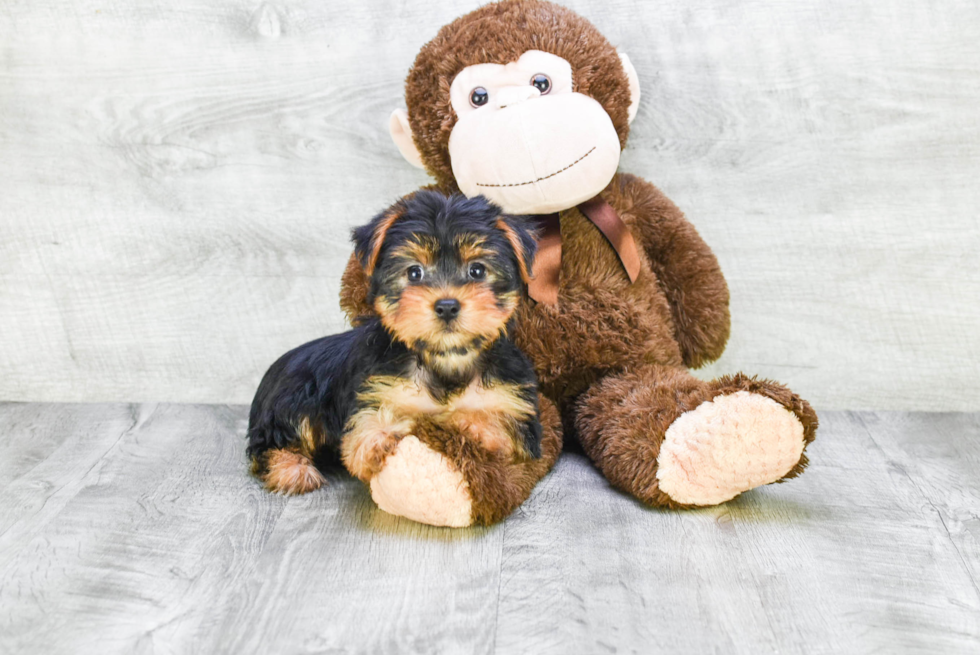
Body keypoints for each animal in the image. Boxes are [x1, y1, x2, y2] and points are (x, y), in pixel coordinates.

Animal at [243, 192, 536, 494]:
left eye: (477, 270)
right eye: (414, 273)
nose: (446, 306)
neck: (445, 357)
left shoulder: (514, 407)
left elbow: (499, 429)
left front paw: (458, 422)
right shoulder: (376, 387)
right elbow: (363, 428)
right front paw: (382, 435)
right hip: (294, 395)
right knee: (273, 442)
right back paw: (292, 470)